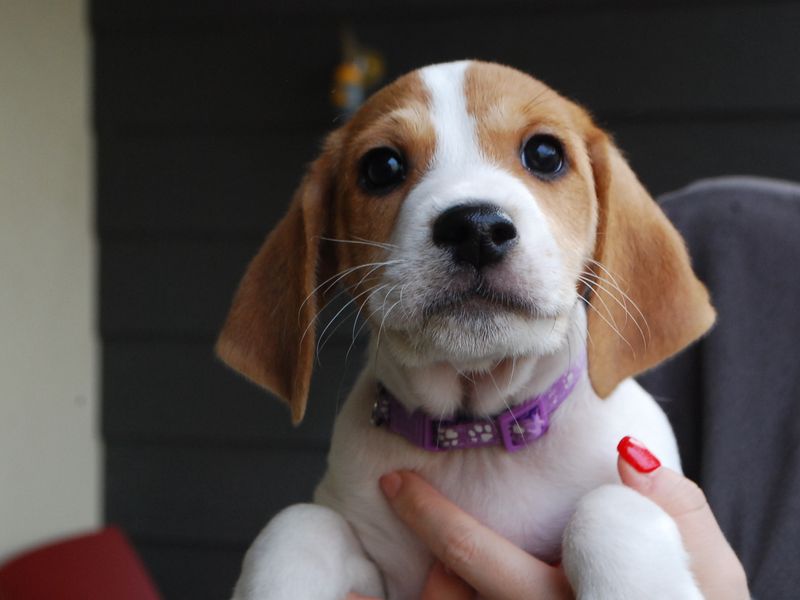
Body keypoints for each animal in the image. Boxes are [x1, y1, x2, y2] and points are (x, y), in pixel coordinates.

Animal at [216, 62, 716, 600]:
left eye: (545, 154)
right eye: (382, 166)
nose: (475, 227)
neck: (475, 443)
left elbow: (608, 506)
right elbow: (296, 524)